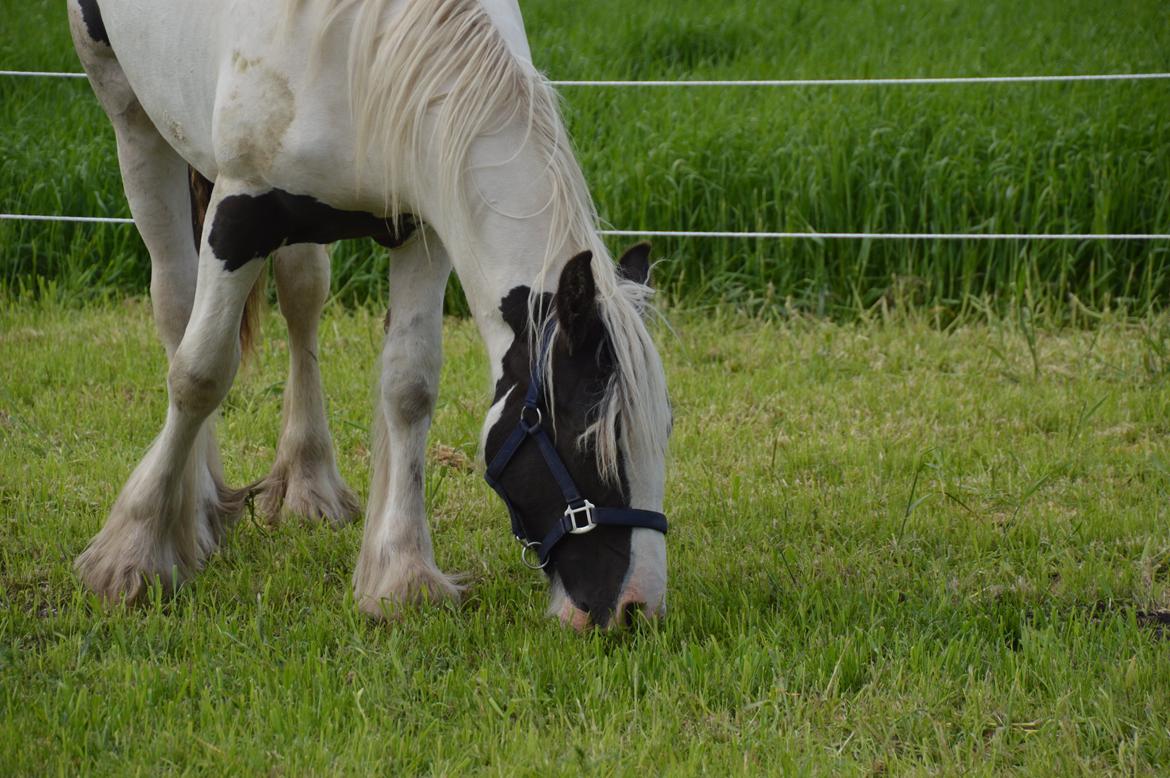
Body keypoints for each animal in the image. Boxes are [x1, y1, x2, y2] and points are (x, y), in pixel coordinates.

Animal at [73, 0, 673, 627]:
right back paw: (200, 504)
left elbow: (410, 387)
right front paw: (131, 555)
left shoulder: (422, 226)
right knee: (175, 301)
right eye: (590, 439)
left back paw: (307, 484)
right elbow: (201, 374)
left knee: (302, 299)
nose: (637, 608)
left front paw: (402, 575)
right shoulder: (242, 213)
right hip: (130, 114)